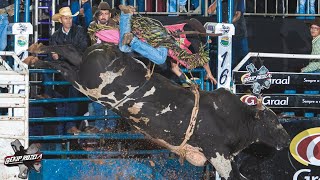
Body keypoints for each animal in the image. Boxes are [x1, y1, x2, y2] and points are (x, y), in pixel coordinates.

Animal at [26, 43, 292, 179]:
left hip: (83, 74)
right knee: (62, 64)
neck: (234, 119)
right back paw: (36, 57)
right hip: (86, 84)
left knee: (67, 55)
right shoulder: (218, 154)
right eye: (272, 123)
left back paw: (38, 50)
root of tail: (106, 50)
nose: (287, 139)